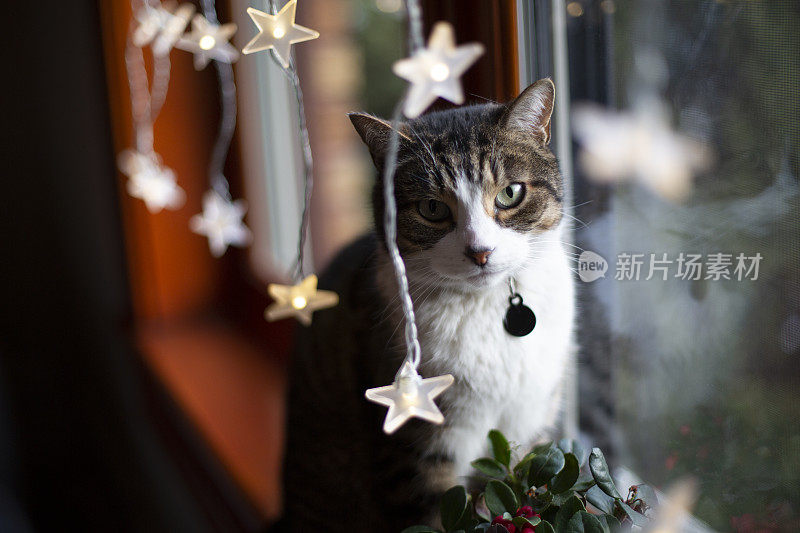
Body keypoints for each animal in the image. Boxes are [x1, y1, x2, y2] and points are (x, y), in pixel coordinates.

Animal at [278, 78, 572, 528]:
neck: (483, 308)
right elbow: (435, 513)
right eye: (432, 208)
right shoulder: (413, 442)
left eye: (510, 193)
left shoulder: (531, 417)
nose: (480, 251)